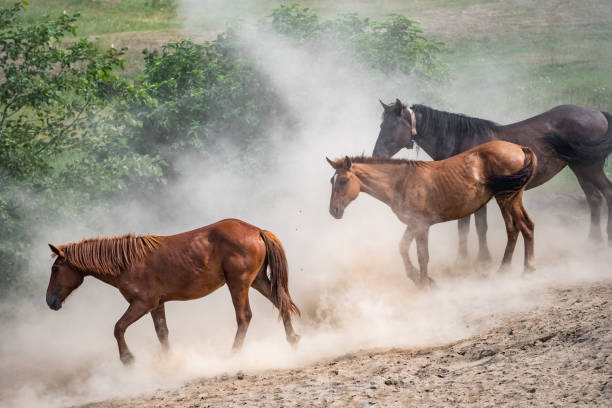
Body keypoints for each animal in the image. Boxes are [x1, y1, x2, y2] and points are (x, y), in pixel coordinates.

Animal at [45, 218, 302, 364]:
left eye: (56, 269)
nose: (50, 301)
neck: (127, 262)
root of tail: (257, 230)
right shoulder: (157, 304)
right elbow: (162, 332)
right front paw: (169, 362)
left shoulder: (143, 303)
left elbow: (118, 328)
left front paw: (128, 359)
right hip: (257, 281)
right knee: (281, 302)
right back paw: (293, 339)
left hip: (238, 284)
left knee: (244, 317)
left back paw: (233, 354)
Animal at [326, 142, 536, 288]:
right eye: (331, 181)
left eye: (344, 181)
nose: (333, 211)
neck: (402, 182)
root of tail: (520, 148)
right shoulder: (413, 225)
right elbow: (403, 248)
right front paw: (421, 279)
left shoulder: (421, 225)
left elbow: (422, 255)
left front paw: (424, 286)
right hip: (506, 199)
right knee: (514, 229)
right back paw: (504, 271)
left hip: (508, 198)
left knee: (525, 227)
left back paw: (528, 270)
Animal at [372, 101, 612, 264]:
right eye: (381, 125)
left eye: (392, 126)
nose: (377, 155)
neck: (460, 141)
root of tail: (598, 113)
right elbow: (466, 228)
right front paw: (466, 259)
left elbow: (478, 227)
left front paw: (479, 258)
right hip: (581, 169)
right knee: (594, 198)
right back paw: (593, 241)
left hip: (589, 167)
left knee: (606, 193)